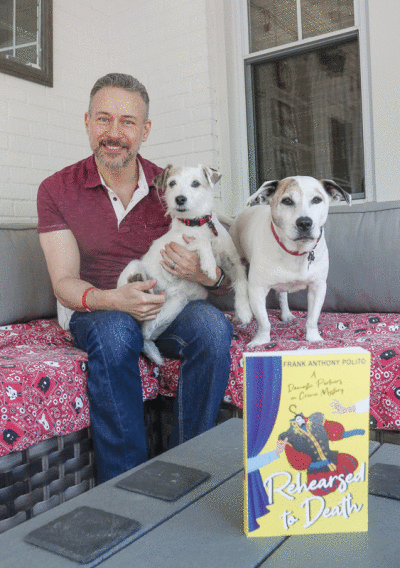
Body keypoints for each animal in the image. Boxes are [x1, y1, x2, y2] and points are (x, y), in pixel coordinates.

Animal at [117, 164, 252, 364]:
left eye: (195, 183)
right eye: (172, 183)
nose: (179, 199)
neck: (197, 223)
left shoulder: (232, 261)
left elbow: (242, 281)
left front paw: (244, 311)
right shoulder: (172, 251)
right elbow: (200, 242)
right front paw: (209, 265)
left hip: (176, 303)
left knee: (148, 332)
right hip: (134, 267)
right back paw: (143, 288)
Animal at [228, 176, 350, 346]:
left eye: (317, 199)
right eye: (287, 201)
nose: (305, 222)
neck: (296, 251)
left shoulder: (318, 287)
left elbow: (312, 318)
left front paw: (314, 338)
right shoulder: (257, 289)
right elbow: (263, 321)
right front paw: (260, 340)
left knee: (282, 295)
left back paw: (286, 314)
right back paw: (238, 315)